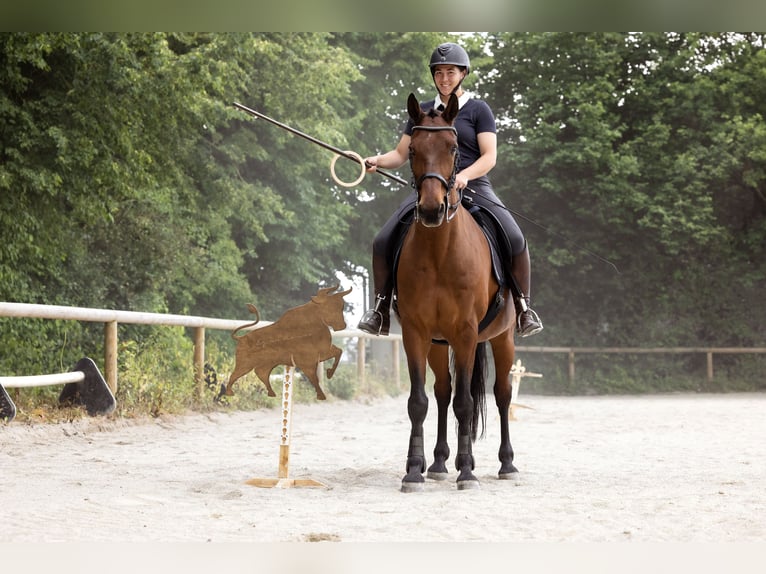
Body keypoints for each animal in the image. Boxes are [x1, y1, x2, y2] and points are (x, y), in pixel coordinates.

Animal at [396, 92, 520, 492]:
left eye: (453, 148)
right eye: (413, 149)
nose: (432, 210)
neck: (439, 252)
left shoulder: (466, 332)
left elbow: (466, 404)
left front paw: (467, 472)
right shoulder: (416, 332)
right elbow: (419, 401)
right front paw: (414, 470)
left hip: (502, 337)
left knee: (501, 394)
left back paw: (507, 464)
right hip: (439, 343)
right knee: (443, 392)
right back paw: (436, 463)